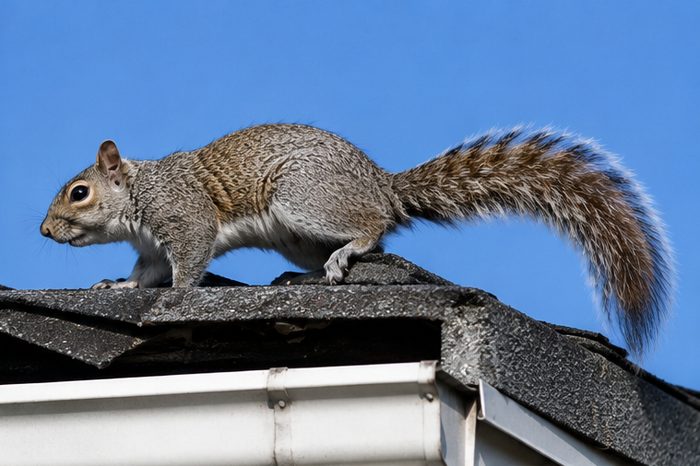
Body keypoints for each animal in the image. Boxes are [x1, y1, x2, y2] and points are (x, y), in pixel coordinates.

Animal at [41, 123, 674, 353]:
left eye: (79, 193)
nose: (44, 230)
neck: (141, 194)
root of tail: (382, 187)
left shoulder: (186, 219)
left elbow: (188, 265)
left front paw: (176, 297)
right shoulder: (151, 247)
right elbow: (141, 274)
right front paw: (114, 285)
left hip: (303, 199)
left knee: (373, 232)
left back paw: (347, 251)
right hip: (296, 230)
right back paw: (302, 274)